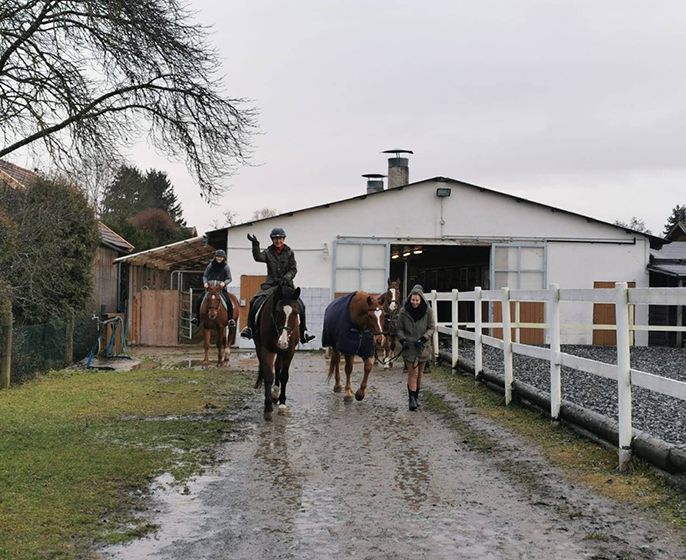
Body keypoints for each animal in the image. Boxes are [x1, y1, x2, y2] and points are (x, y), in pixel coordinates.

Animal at [253, 284, 300, 420]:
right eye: (278, 311)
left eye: (295, 312)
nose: (283, 342)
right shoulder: (266, 349)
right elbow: (269, 375)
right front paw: (268, 407)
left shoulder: (289, 351)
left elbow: (284, 375)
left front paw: (282, 404)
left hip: (281, 351)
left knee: (278, 367)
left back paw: (276, 393)